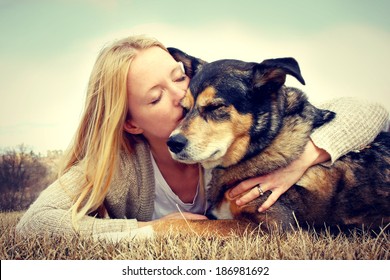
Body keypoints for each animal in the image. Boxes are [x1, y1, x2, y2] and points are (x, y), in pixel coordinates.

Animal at [165, 47, 390, 232]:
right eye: (184, 108)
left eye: (216, 106)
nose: (173, 143)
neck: (265, 143)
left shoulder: (270, 227)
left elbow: (181, 224)